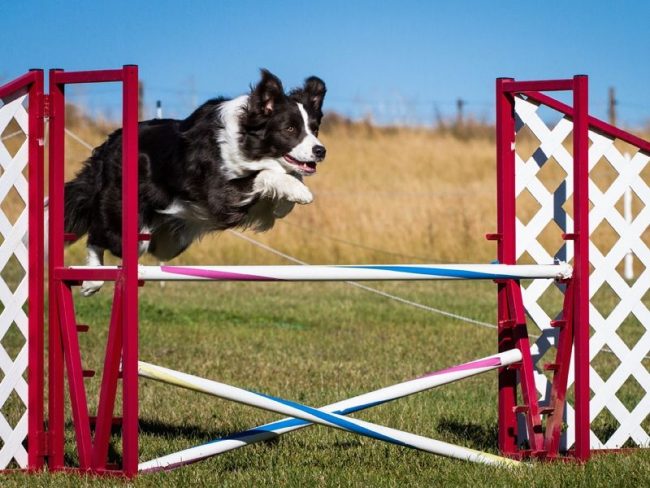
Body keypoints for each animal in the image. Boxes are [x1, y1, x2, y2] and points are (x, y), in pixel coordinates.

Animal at [64, 70, 324, 296]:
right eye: (289, 128)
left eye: (314, 129)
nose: (321, 151)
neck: (247, 141)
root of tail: (106, 147)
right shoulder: (218, 192)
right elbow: (265, 174)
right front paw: (299, 192)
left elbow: (284, 178)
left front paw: (285, 202)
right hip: (128, 219)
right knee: (98, 235)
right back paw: (92, 281)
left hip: (169, 240)